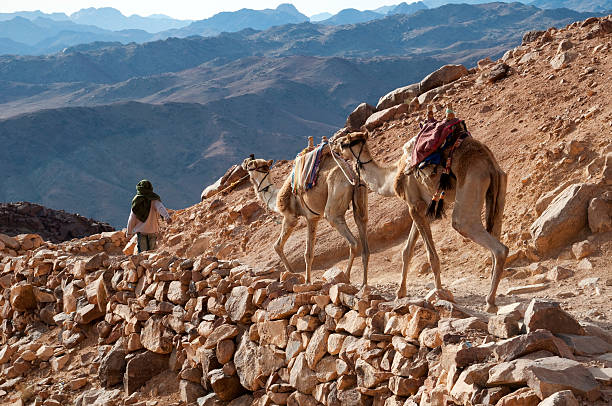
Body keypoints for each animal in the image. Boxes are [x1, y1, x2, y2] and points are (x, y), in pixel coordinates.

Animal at [243, 151, 368, 286]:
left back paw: (346, 277)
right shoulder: (314, 217)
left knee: (352, 241)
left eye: (249, 164)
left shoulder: (294, 217)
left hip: (335, 198)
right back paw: (363, 283)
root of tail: (352, 175)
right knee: (362, 227)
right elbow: (309, 252)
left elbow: (281, 247)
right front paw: (303, 278)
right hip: (361, 195)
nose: (244, 162)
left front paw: (302, 278)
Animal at [338, 112, 510, 312]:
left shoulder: (414, 205)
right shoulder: (419, 207)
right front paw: (400, 293)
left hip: (471, 184)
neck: (392, 176)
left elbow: (431, 256)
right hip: (499, 188)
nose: (336, 145)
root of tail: (489, 163)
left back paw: (489, 303)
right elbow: (407, 251)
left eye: (346, 142)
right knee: (495, 233)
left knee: (482, 236)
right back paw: (492, 297)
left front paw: (439, 293)